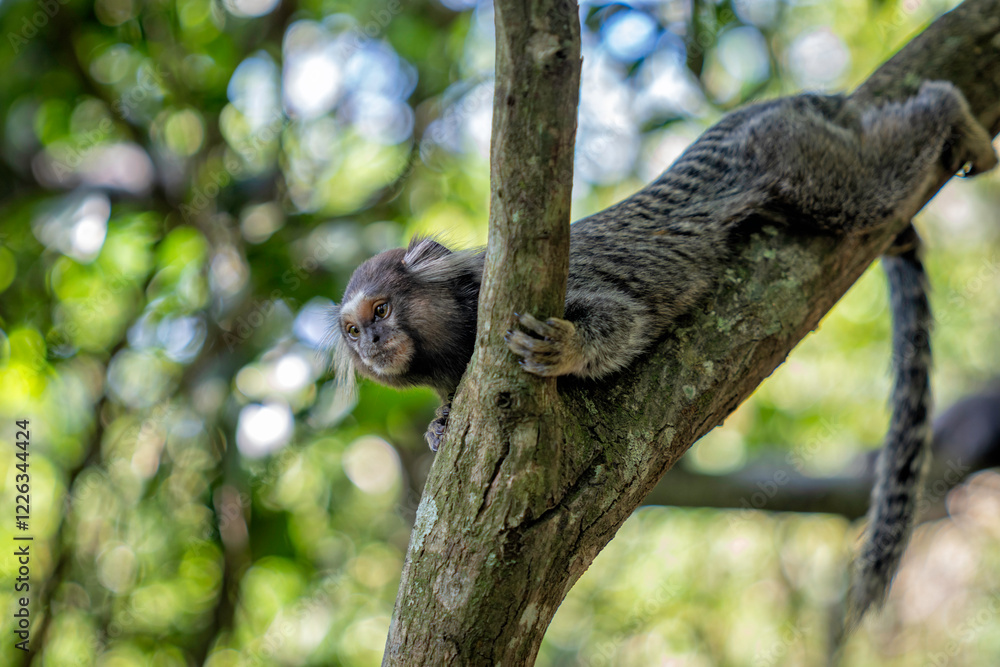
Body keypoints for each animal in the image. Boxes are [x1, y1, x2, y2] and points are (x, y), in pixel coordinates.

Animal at [327, 81, 997, 628]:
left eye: (381, 311)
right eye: (353, 330)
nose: (374, 344)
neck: (462, 331)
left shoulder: (524, 293)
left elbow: (623, 318)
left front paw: (568, 348)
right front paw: (441, 427)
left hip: (782, 148)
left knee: (862, 190)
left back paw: (953, 115)